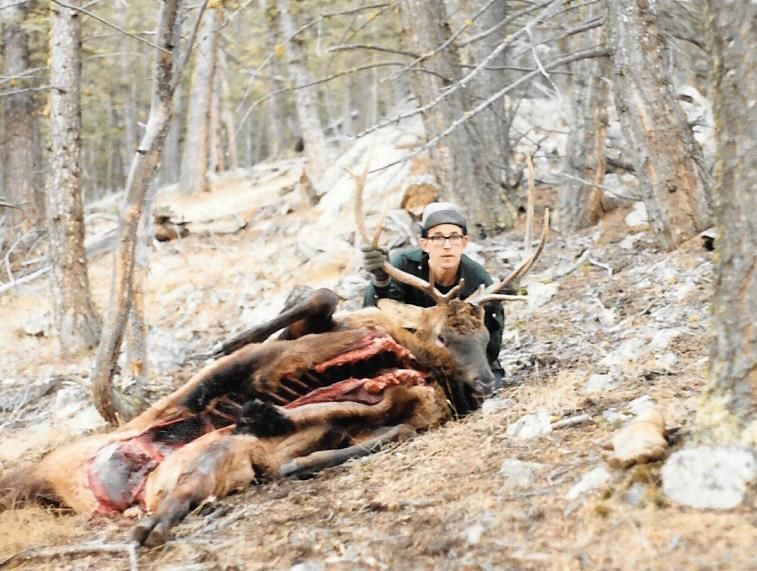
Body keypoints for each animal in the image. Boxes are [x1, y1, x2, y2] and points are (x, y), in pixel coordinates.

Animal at [0, 166, 549, 547]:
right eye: (440, 335)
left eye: (484, 334)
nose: (487, 383)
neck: (413, 358)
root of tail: (121, 491)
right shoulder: (326, 329)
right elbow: (316, 298)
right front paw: (232, 344)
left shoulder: (412, 411)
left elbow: (369, 428)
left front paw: (275, 430)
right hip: (53, 462)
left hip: (182, 474)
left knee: (179, 496)